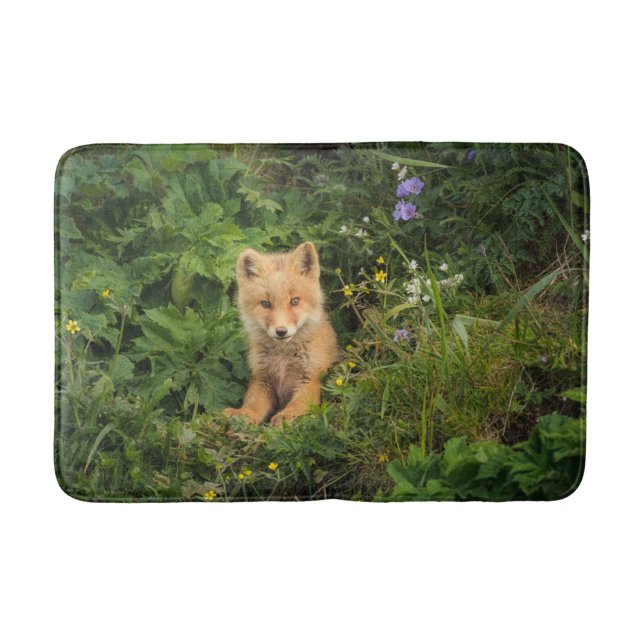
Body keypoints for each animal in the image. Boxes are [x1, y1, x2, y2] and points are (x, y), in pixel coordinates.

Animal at [223, 241, 339, 427]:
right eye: (265, 304)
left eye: (294, 301)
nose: (281, 331)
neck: (283, 357)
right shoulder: (262, 378)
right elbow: (253, 403)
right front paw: (244, 414)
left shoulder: (310, 378)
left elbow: (298, 404)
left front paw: (287, 416)